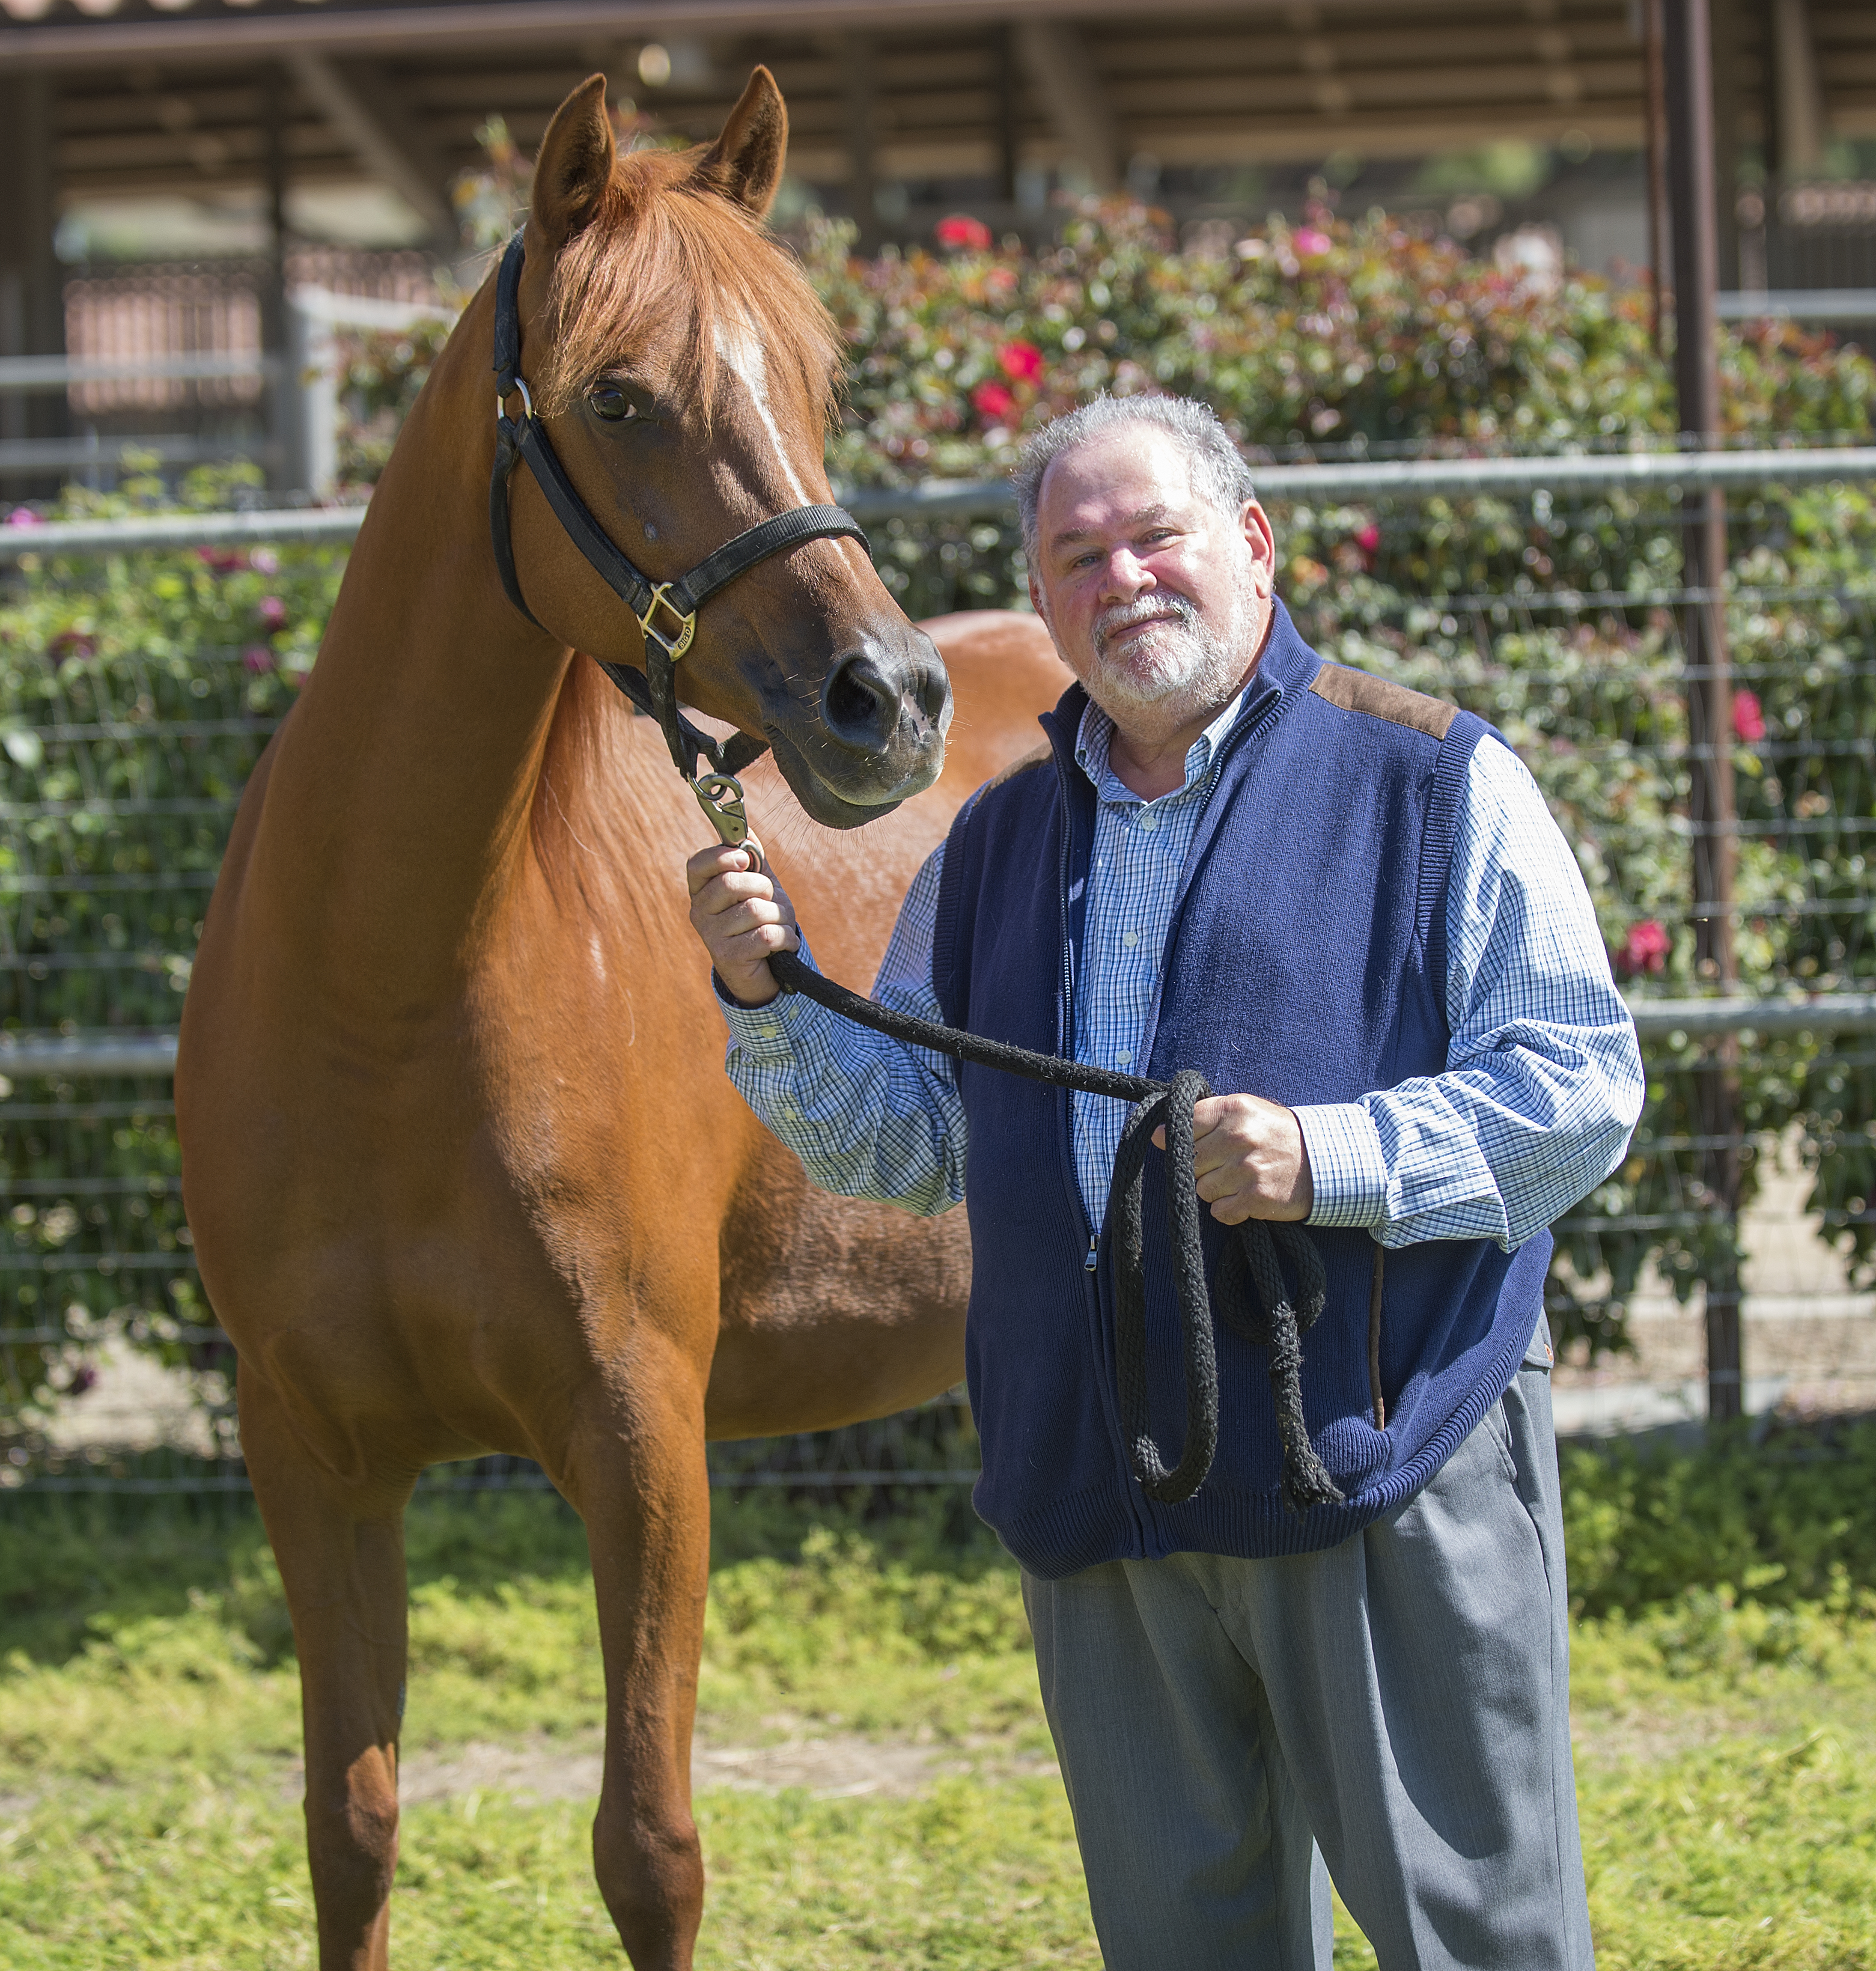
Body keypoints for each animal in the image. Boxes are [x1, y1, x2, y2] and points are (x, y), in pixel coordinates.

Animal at [177, 69, 1072, 1971]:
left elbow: (647, 1848)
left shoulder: (643, 1439)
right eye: (617, 395)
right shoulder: (310, 1456)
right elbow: (350, 1827)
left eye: (811, 385)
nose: (887, 703)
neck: (383, 1001)